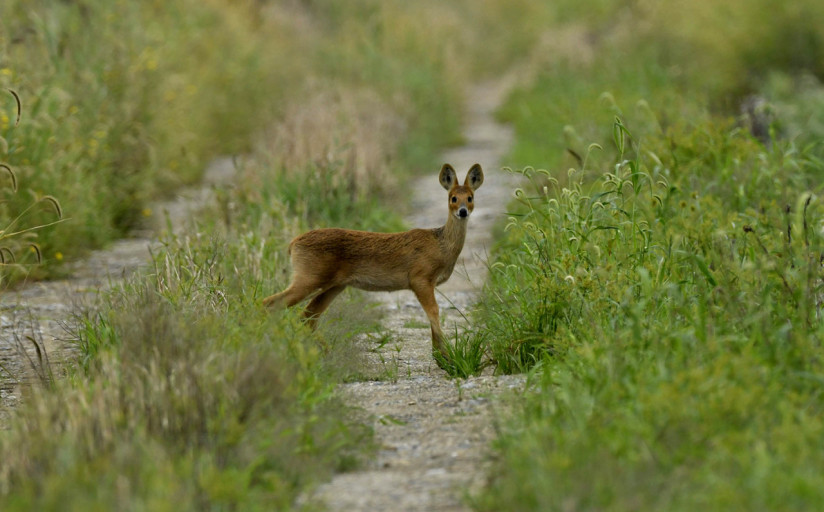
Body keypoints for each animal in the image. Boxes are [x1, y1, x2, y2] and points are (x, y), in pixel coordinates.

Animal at [264, 164, 482, 360]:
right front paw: (446, 357)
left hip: (334, 285)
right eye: (453, 198)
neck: (441, 245)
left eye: (470, 198)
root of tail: (293, 244)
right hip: (309, 277)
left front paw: (440, 356)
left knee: (306, 317)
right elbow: (434, 313)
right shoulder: (420, 278)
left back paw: (325, 354)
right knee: (270, 303)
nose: (463, 211)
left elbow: (431, 316)